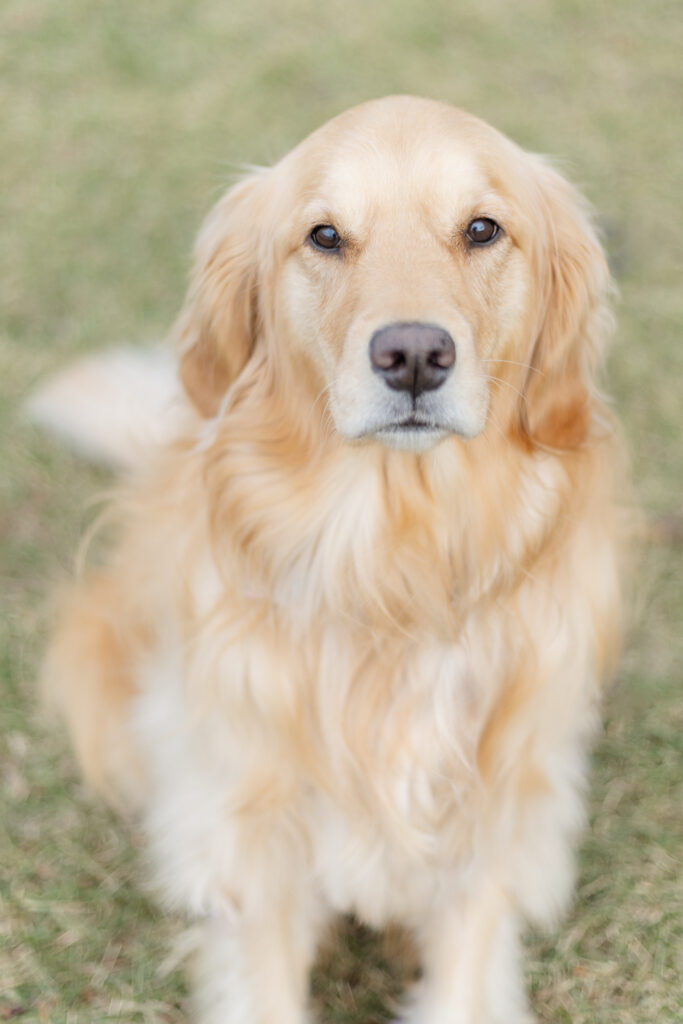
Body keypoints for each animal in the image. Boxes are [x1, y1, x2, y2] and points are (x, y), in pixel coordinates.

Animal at [42, 97, 626, 1024]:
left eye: (482, 229)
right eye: (324, 236)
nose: (414, 354)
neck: (394, 570)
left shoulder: (492, 830)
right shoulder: (255, 840)